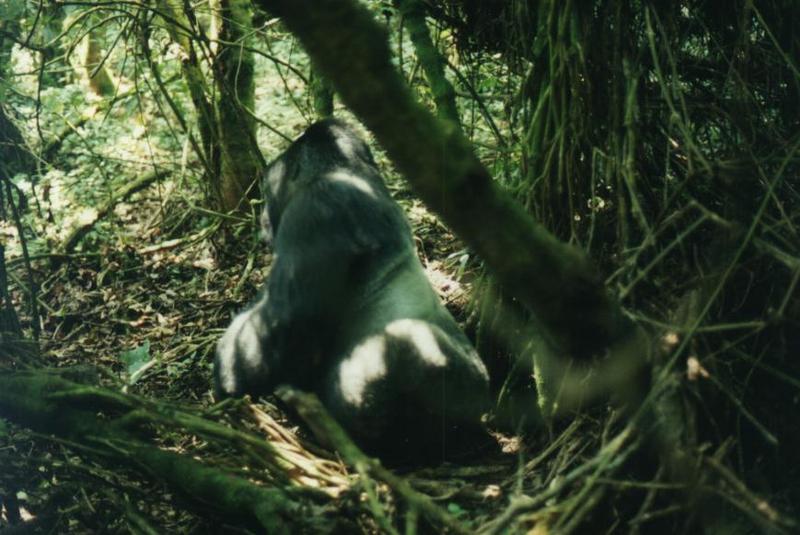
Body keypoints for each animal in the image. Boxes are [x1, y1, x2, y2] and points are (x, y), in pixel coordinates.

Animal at [214, 120, 488, 460]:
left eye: (267, 191)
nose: (263, 217)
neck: (345, 169)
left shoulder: (316, 207)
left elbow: (286, 319)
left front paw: (226, 375)